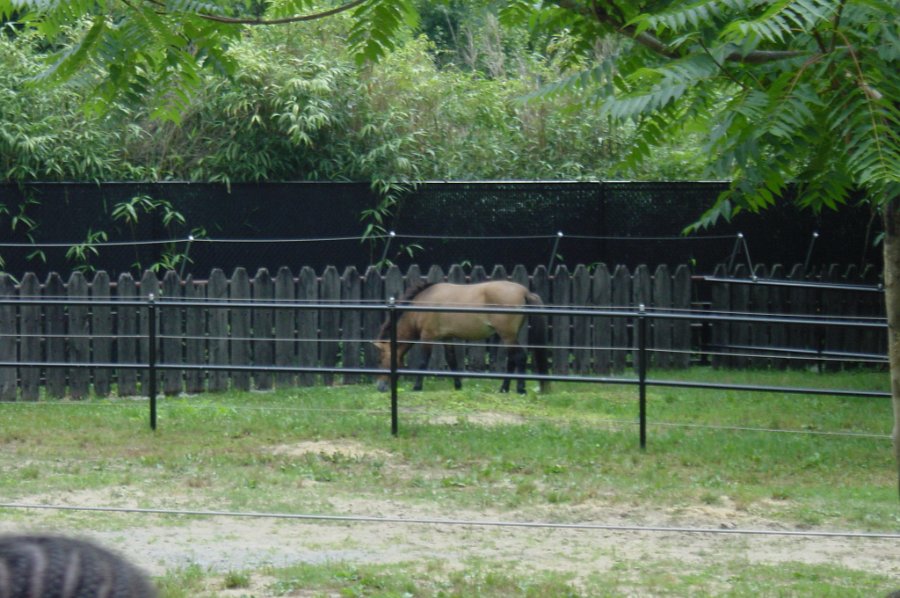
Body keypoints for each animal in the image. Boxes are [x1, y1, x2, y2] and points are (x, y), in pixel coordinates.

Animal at [373, 280, 550, 394]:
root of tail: (525, 291)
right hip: (508, 336)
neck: (420, 305)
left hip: (507, 335)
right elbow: (452, 361)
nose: (380, 387)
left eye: (381, 359)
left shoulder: (427, 337)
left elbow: (423, 362)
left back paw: (520, 388)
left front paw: (417, 387)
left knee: (519, 357)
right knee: (512, 360)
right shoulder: (447, 338)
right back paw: (504, 389)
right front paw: (458, 386)